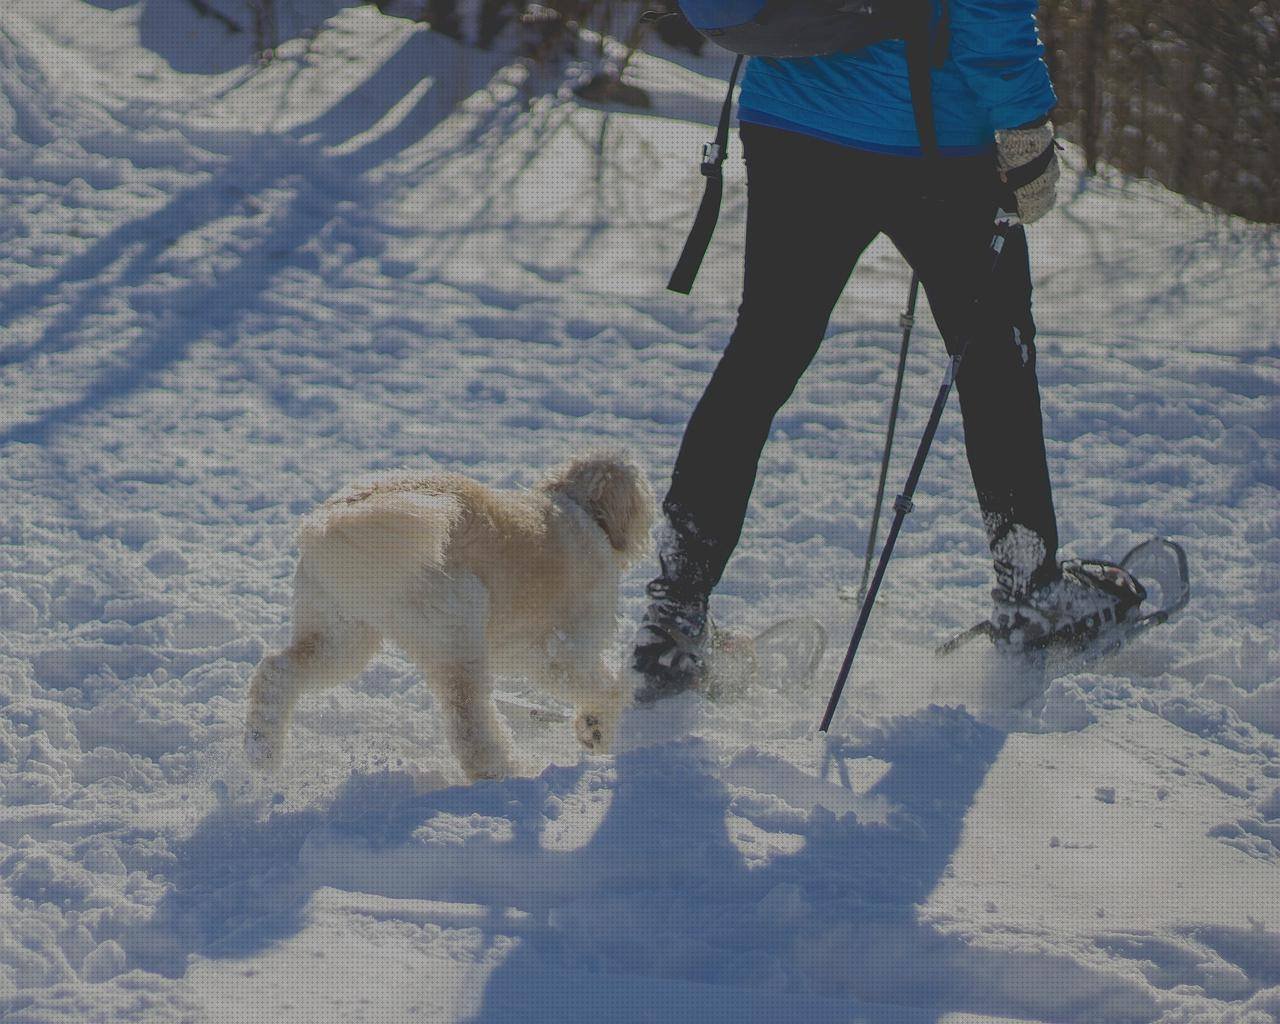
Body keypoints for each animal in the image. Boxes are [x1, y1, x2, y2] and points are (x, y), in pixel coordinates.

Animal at [244, 453, 655, 778]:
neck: (578, 508)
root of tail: (337, 518)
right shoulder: (559, 651)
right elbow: (606, 690)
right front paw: (598, 728)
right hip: (455, 635)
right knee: (469, 723)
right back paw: (505, 772)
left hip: (340, 636)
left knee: (276, 672)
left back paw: (262, 752)